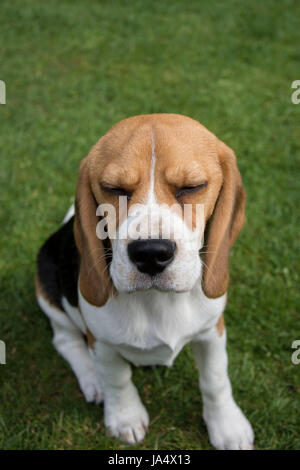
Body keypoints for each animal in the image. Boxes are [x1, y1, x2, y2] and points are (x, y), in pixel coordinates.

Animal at [36, 113, 254, 448]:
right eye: (113, 188)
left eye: (192, 187)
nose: (151, 253)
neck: (158, 301)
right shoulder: (101, 340)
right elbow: (117, 379)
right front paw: (125, 417)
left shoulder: (212, 330)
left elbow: (215, 379)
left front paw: (227, 426)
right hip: (46, 287)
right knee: (66, 340)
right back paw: (92, 380)